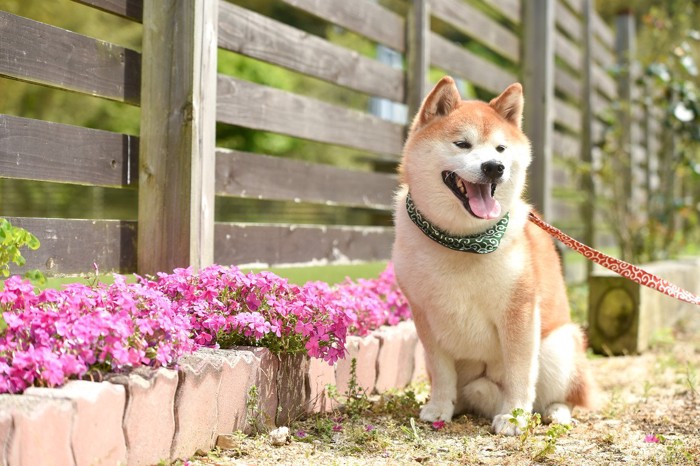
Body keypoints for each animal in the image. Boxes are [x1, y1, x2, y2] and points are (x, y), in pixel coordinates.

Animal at [392, 77, 600, 436]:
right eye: (462, 144)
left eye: (501, 149)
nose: (494, 167)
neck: (460, 241)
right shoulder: (424, 316)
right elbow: (441, 371)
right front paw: (439, 407)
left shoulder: (518, 311)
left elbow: (519, 372)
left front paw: (514, 416)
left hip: (558, 346)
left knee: (565, 395)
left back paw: (555, 412)